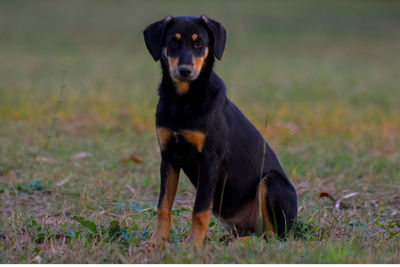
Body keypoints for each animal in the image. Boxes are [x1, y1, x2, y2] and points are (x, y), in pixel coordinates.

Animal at [143, 15, 296, 248]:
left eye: (199, 43)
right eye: (173, 42)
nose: (185, 71)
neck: (183, 100)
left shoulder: (209, 159)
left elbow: (199, 210)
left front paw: (192, 244)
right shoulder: (168, 157)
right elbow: (163, 206)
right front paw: (156, 241)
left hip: (272, 182)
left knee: (273, 238)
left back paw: (241, 243)